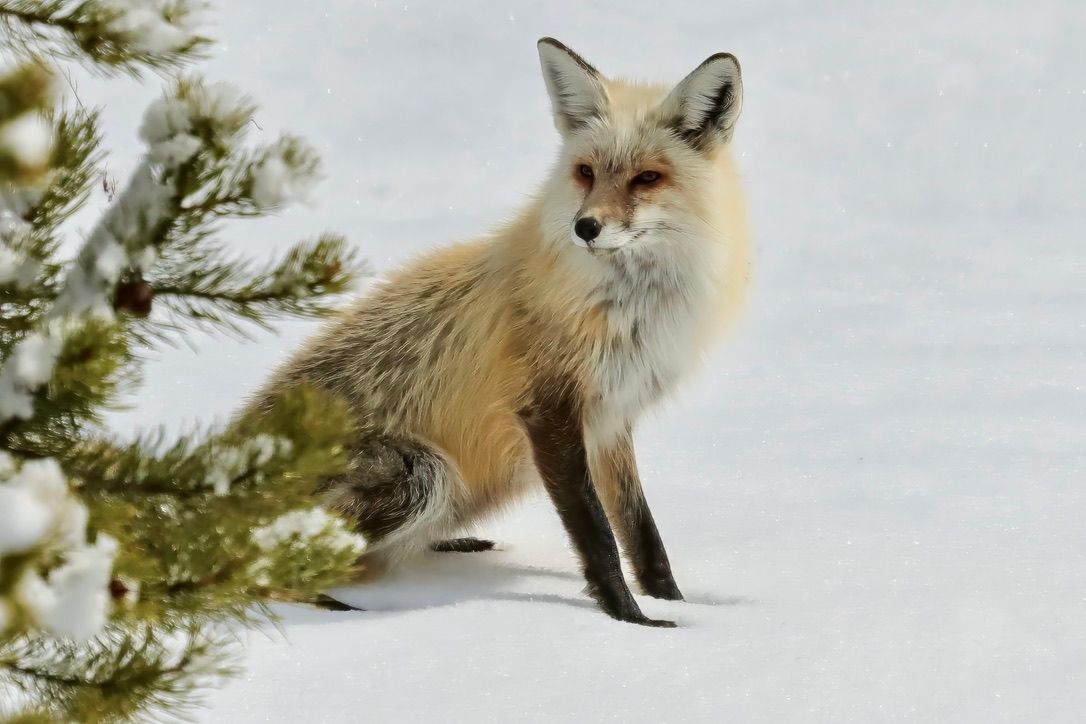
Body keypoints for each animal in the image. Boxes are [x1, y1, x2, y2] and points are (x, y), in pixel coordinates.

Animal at [245, 38, 751, 627]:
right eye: (585, 172)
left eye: (647, 177)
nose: (585, 227)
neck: (629, 313)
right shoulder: (548, 410)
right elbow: (598, 536)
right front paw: (632, 621)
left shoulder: (610, 419)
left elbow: (642, 532)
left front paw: (675, 605)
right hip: (423, 476)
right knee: (259, 562)